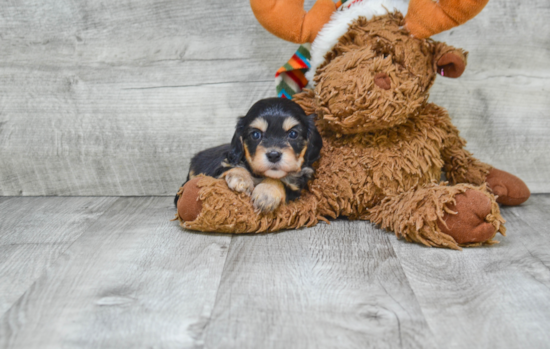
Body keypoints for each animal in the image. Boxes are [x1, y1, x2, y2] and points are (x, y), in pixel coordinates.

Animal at [176, 97, 324, 212]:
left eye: (293, 134)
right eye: (256, 134)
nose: (274, 155)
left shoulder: (296, 188)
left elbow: (280, 181)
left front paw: (266, 193)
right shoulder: (218, 169)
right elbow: (232, 167)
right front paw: (241, 178)